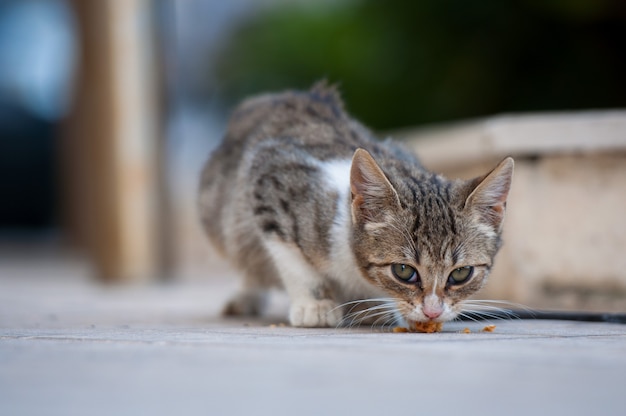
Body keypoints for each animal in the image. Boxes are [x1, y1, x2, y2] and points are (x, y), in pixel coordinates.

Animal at [199, 81, 512, 328]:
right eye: (404, 271)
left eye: (461, 274)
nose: (432, 312)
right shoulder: (269, 177)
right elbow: (290, 257)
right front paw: (315, 304)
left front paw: (370, 306)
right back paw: (246, 295)